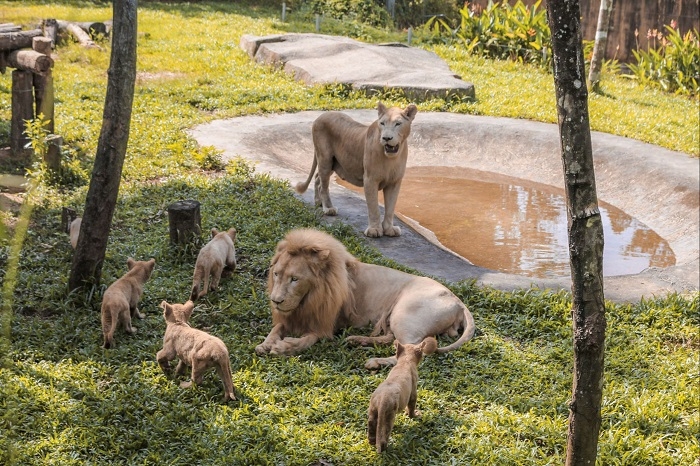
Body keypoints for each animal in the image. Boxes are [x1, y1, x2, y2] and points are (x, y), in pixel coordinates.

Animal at [253, 229, 476, 368]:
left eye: (295, 279)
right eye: (276, 274)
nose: (275, 301)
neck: (308, 298)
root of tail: (458, 301)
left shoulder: (325, 325)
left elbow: (308, 339)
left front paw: (283, 347)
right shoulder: (292, 316)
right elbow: (276, 328)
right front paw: (265, 344)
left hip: (404, 313)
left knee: (410, 351)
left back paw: (375, 362)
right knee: (391, 339)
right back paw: (356, 340)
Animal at [294, 103, 416, 238]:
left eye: (398, 124)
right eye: (382, 123)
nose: (386, 138)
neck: (391, 158)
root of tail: (321, 116)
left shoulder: (394, 182)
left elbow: (390, 207)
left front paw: (389, 229)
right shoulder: (370, 179)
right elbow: (374, 207)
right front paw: (374, 230)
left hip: (332, 163)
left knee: (317, 178)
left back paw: (318, 202)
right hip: (325, 159)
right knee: (323, 185)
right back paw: (328, 209)